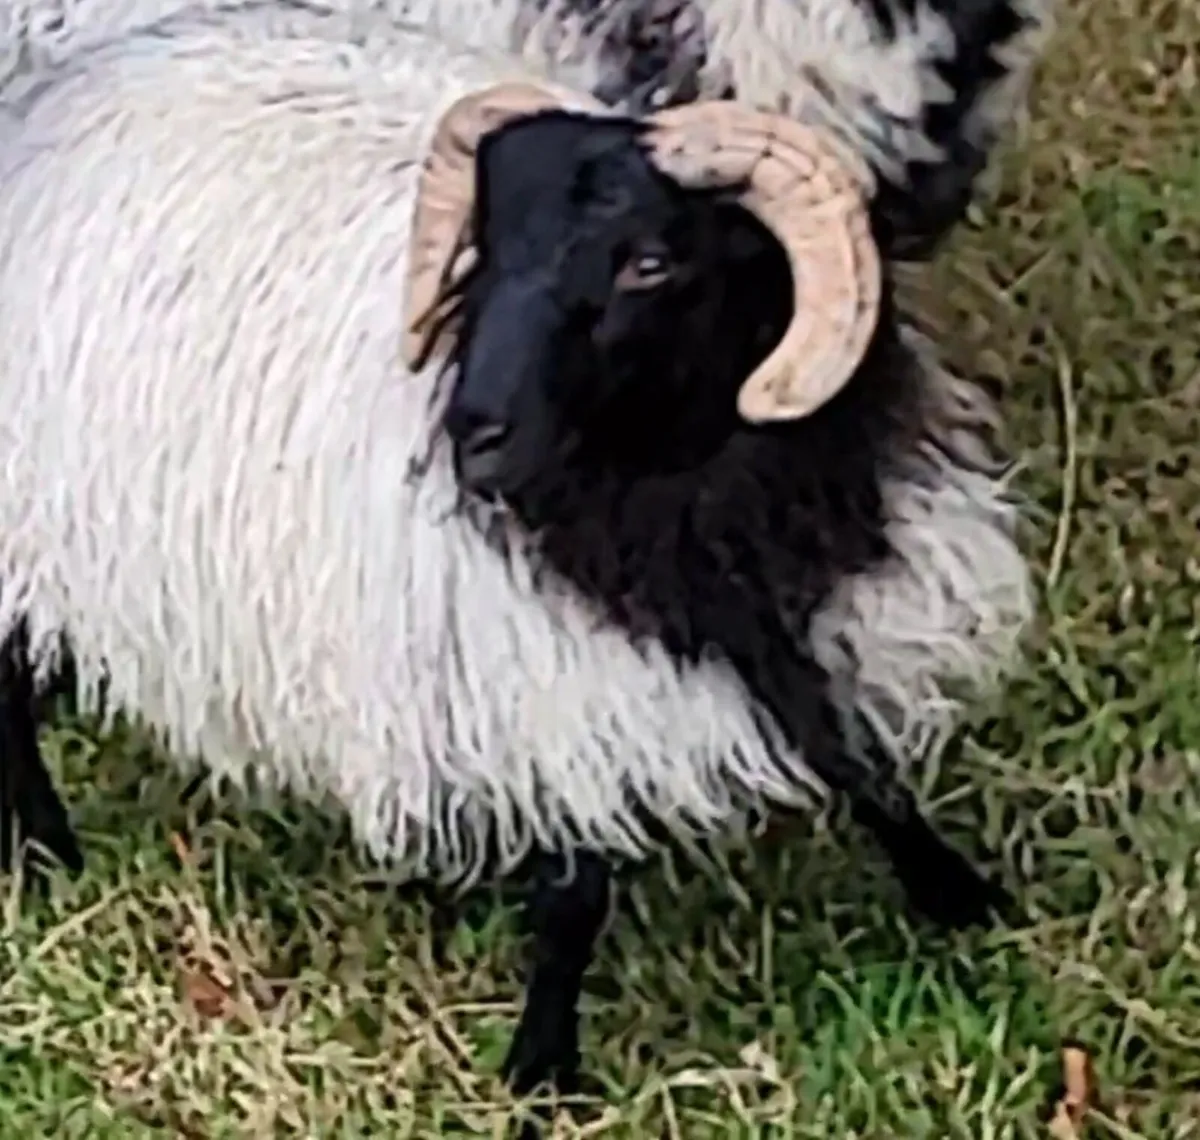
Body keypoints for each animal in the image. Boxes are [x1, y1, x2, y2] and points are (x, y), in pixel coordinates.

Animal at [0, 2, 1033, 1100]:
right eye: (483, 251)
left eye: (648, 261)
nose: (473, 431)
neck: (677, 482)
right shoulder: (541, 670)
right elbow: (577, 889)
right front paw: (543, 1068)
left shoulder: (794, 593)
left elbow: (857, 757)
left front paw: (960, 896)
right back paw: (45, 849)